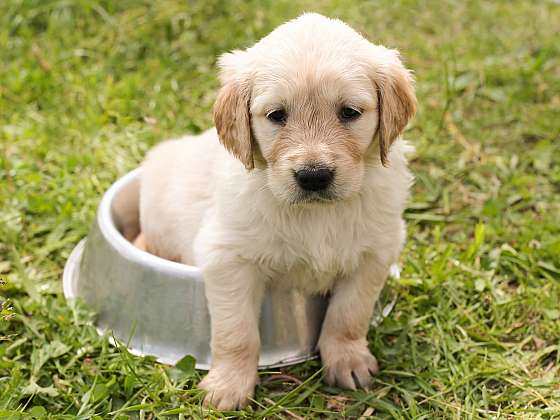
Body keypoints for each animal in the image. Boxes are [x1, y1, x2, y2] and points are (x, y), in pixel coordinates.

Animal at [136, 13, 416, 410]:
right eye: (276, 115)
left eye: (349, 113)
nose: (313, 176)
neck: (318, 214)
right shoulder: (227, 258)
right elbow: (237, 332)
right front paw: (228, 386)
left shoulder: (375, 252)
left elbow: (349, 314)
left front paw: (347, 360)